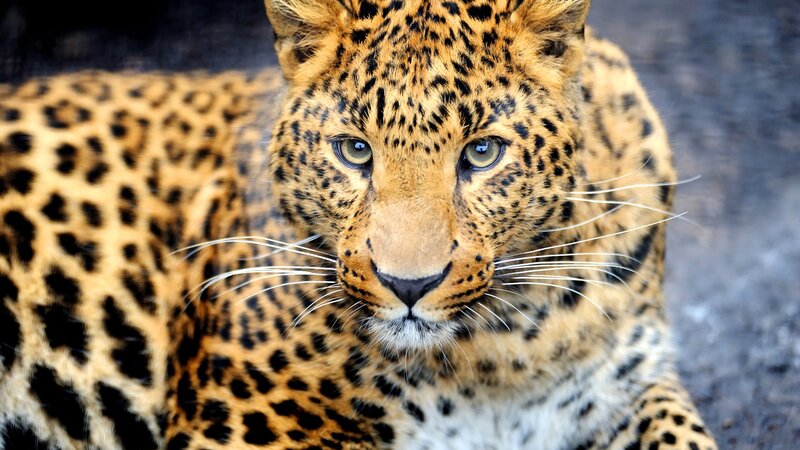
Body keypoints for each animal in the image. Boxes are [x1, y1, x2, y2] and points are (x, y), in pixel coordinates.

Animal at [0, 0, 718, 449]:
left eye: (482, 153)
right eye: (354, 151)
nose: (409, 286)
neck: (499, 353)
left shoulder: (627, 385)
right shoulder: (241, 422)